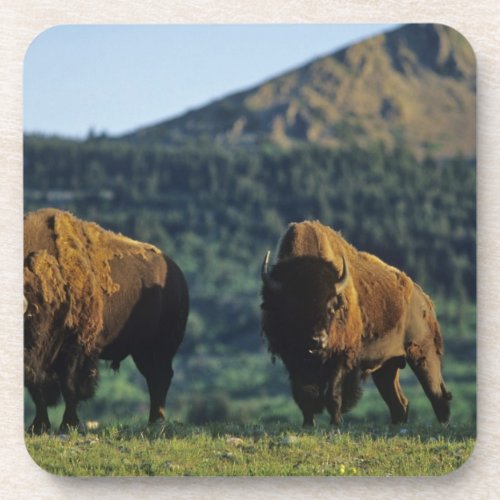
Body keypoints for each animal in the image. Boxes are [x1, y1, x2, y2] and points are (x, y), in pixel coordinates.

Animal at [23, 207, 188, 434]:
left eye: (34, 314)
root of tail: (179, 277)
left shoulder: (76, 348)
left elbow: (70, 386)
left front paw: (68, 425)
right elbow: (38, 391)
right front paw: (38, 426)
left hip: (160, 348)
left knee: (160, 377)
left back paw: (156, 421)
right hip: (141, 351)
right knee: (154, 378)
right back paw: (154, 421)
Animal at [262, 222, 454, 426]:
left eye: (332, 308)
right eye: (295, 308)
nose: (318, 340)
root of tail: (424, 299)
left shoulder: (342, 357)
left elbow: (333, 395)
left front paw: (336, 423)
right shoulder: (293, 360)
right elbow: (305, 395)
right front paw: (308, 424)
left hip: (423, 354)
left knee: (436, 394)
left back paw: (442, 424)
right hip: (387, 366)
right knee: (399, 403)